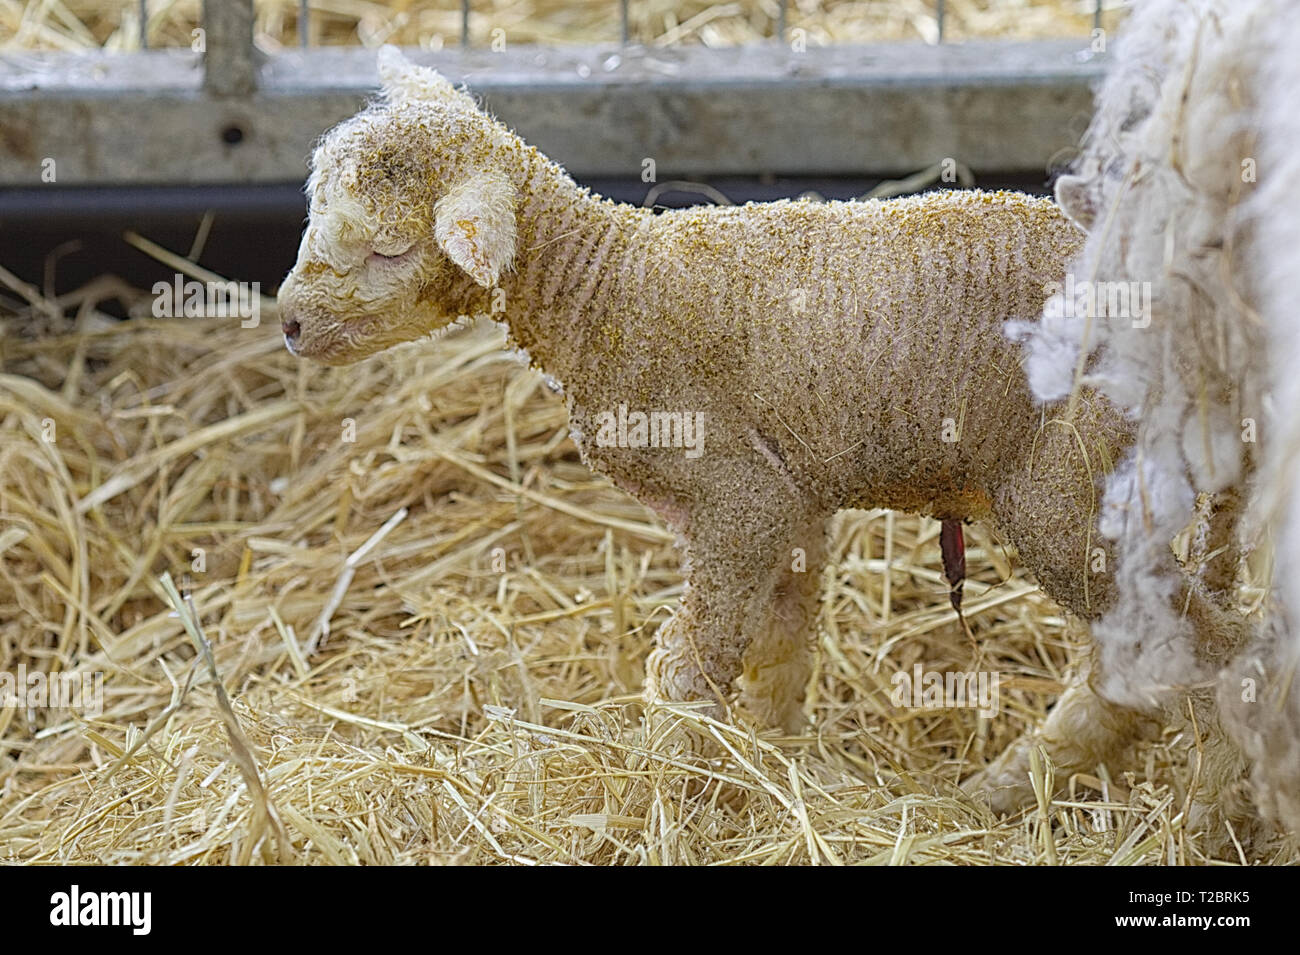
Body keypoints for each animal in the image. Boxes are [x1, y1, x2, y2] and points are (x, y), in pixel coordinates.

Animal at [278, 46, 1189, 808]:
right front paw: (778, 757)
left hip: (1062, 487)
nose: (287, 323)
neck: (606, 289)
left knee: (1171, 657)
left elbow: (689, 665)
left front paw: (664, 790)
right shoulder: (793, 500)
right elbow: (780, 645)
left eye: (391, 250)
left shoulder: (738, 498)